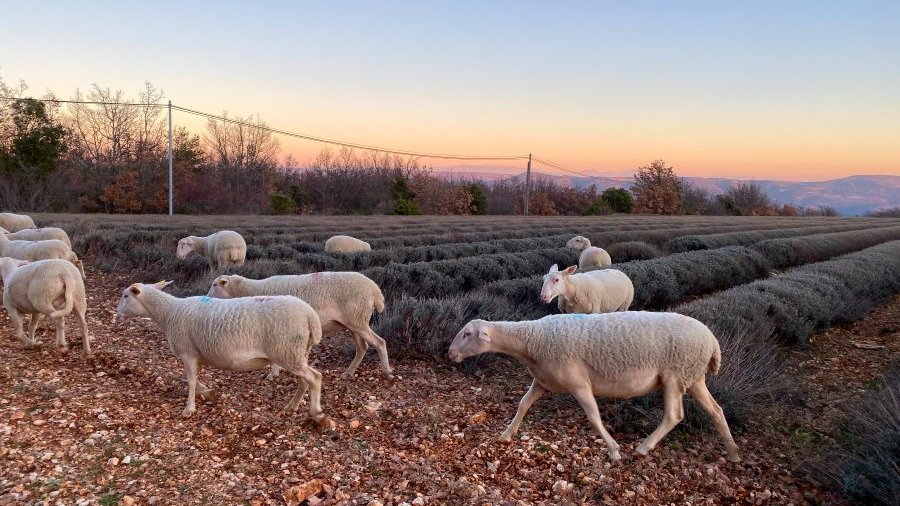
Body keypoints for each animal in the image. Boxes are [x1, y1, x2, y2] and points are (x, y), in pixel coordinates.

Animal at [115, 280, 327, 422]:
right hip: (297, 353)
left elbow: (190, 381)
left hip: (286, 351)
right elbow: (193, 380)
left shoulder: (187, 353)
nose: (117, 315)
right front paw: (208, 393)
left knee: (315, 377)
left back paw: (316, 413)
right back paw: (292, 406)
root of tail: (310, 315)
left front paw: (189, 409)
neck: (169, 313)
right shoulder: (195, 355)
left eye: (126, 296)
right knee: (304, 381)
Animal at [208, 272, 393, 380]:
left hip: (357, 319)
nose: (206, 297)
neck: (252, 291)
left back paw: (387, 373)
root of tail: (375, 290)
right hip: (353, 322)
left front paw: (273, 374)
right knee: (362, 347)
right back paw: (348, 373)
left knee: (379, 342)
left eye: (215, 284)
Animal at [448, 312, 740, 462]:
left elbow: (593, 417)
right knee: (716, 411)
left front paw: (613, 450)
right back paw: (733, 453)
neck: (532, 341)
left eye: (467, 334)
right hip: (693, 376)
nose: (450, 353)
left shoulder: (579, 383)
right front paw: (507, 434)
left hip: (675, 375)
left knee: (674, 415)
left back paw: (644, 447)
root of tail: (712, 341)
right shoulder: (542, 381)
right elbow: (523, 404)